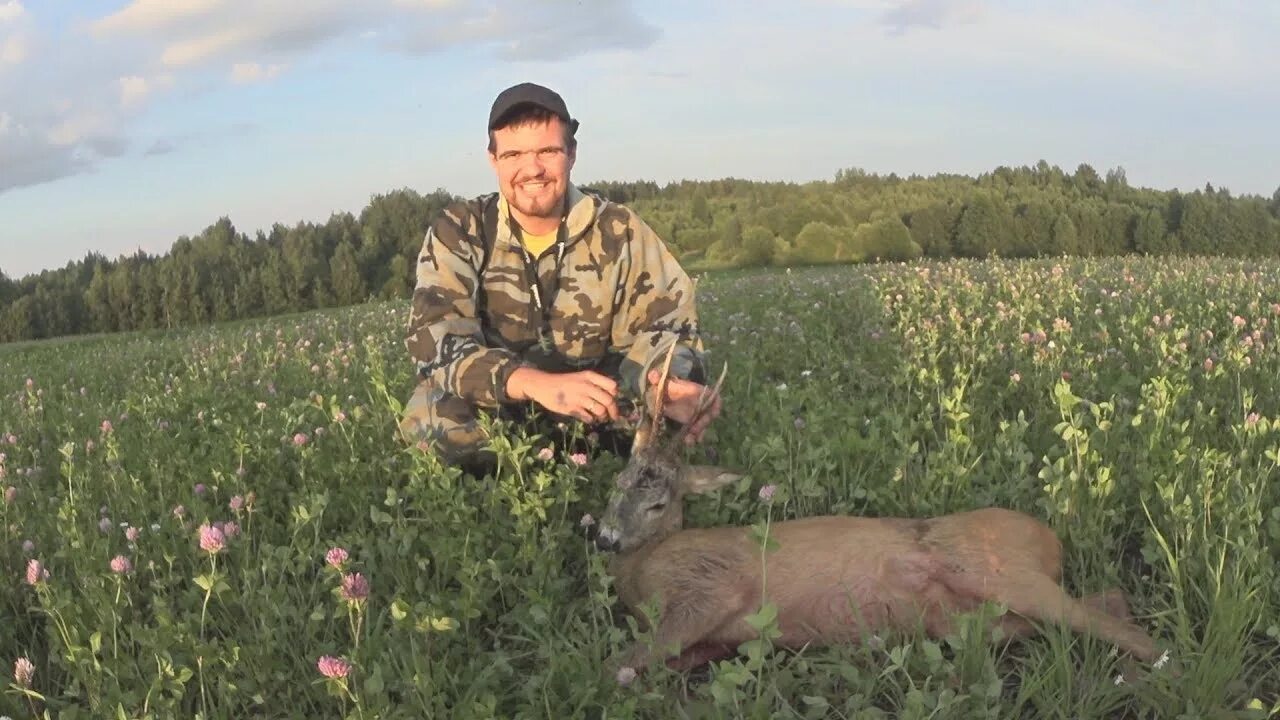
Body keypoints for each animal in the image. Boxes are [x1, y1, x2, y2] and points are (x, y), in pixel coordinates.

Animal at [593, 345, 1167, 671]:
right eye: (616, 483)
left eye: (658, 501)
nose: (604, 537)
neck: (641, 572)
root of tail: (1050, 538)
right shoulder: (710, 641)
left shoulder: (711, 588)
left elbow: (619, 668)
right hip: (977, 619)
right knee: (1109, 604)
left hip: (997, 571)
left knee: (1133, 633)